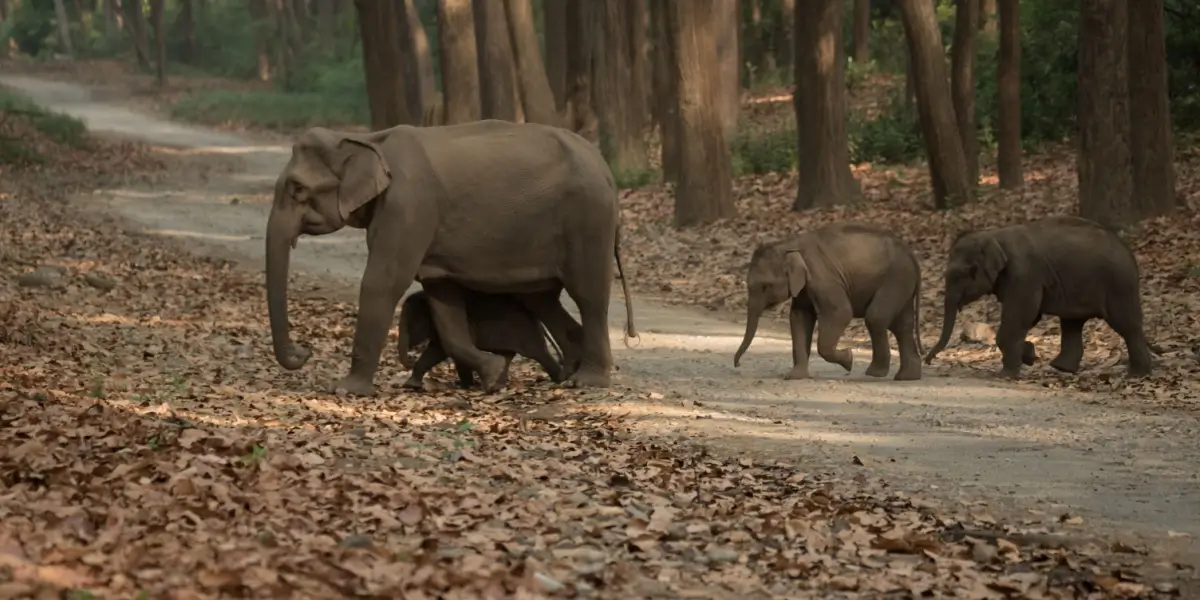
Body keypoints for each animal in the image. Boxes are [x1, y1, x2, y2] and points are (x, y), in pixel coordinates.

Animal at [396, 288, 583, 389]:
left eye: (409, 324)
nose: (410, 359)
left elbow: (439, 350)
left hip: (525, 332)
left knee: (538, 353)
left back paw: (559, 379)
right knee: (507, 355)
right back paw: (498, 384)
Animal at [733, 222, 926, 381]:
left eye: (765, 286)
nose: (737, 364)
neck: (789, 244)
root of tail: (911, 253)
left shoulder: (823, 279)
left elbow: (841, 312)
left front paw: (849, 359)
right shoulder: (804, 288)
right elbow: (799, 317)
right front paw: (794, 376)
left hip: (896, 278)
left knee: (876, 317)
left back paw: (875, 373)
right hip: (902, 282)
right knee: (901, 325)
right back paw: (906, 377)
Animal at [923, 215, 1153, 379]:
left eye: (961, 275)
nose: (927, 361)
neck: (993, 236)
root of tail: (1129, 252)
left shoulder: (1023, 274)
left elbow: (1022, 314)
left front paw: (1007, 373)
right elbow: (1029, 317)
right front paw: (1029, 355)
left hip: (1118, 284)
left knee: (1126, 325)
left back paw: (1136, 374)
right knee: (1072, 324)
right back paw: (1062, 368)